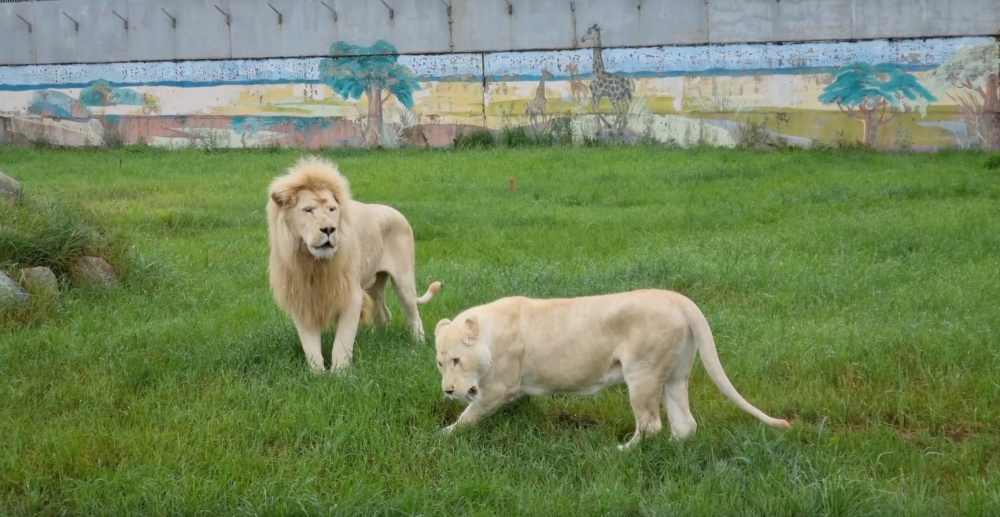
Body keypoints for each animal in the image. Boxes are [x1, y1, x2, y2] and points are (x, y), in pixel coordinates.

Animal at [266, 155, 442, 368]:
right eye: (308, 210)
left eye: (332, 209)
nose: (329, 229)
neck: (314, 264)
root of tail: (397, 213)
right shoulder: (302, 299)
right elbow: (311, 348)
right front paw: (318, 373)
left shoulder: (351, 296)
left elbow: (342, 343)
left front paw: (340, 372)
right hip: (373, 284)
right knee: (384, 314)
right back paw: (377, 339)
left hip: (403, 280)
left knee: (414, 316)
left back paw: (418, 345)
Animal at [434, 288, 792, 450]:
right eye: (440, 362)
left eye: (456, 360)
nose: (447, 390)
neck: (489, 334)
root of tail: (680, 300)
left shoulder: (498, 387)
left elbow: (469, 415)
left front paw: (444, 435)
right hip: (674, 376)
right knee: (684, 424)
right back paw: (674, 451)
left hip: (642, 374)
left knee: (651, 424)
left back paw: (624, 451)